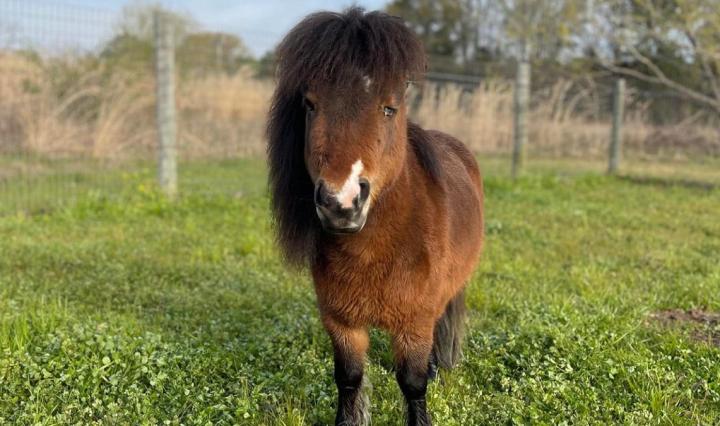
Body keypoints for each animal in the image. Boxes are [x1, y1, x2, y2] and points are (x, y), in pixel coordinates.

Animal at [267, 7, 484, 425]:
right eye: (310, 105)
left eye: (388, 108)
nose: (341, 202)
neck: (375, 251)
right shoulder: (342, 322)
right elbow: (349, 378)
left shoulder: (415, 323)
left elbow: (413, 383)